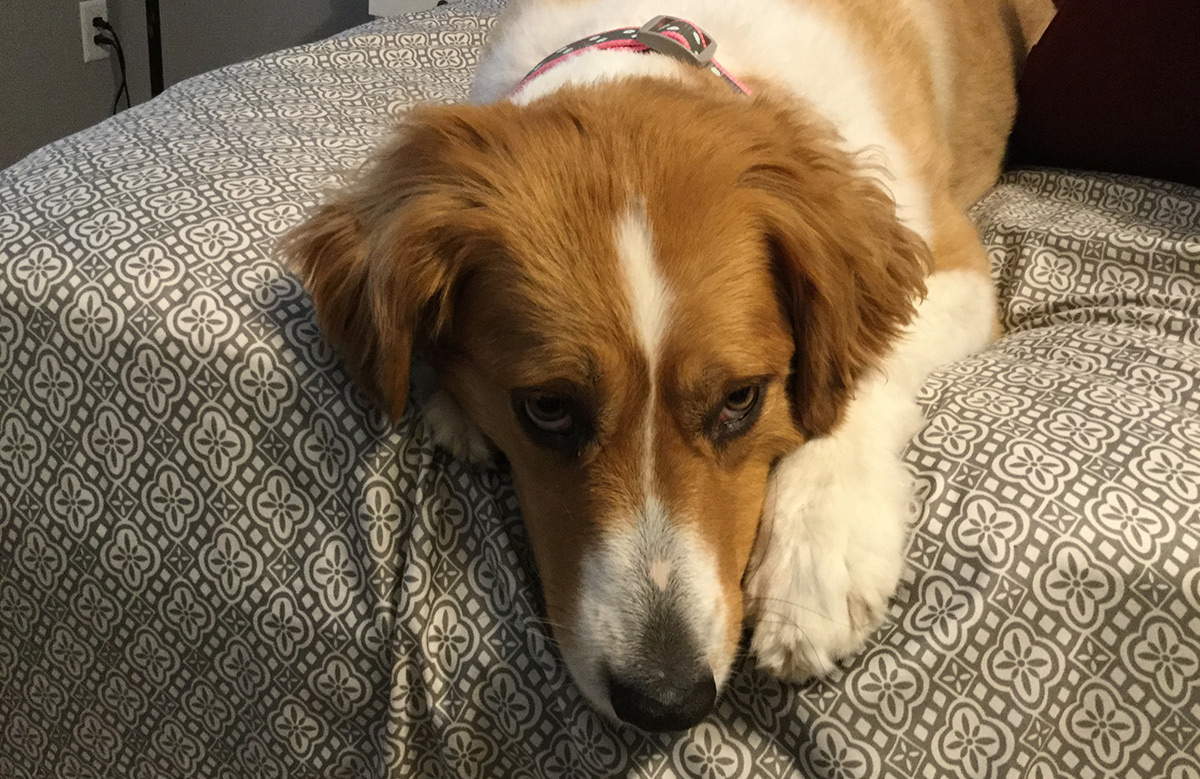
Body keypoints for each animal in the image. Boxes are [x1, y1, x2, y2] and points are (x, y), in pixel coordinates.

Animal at [285, 0, 1056, 729]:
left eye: (742, 398)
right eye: (547, 407)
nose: (667, 701)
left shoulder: (955, 267)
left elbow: (861, 376)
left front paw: (819, 547)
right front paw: (453, 404)